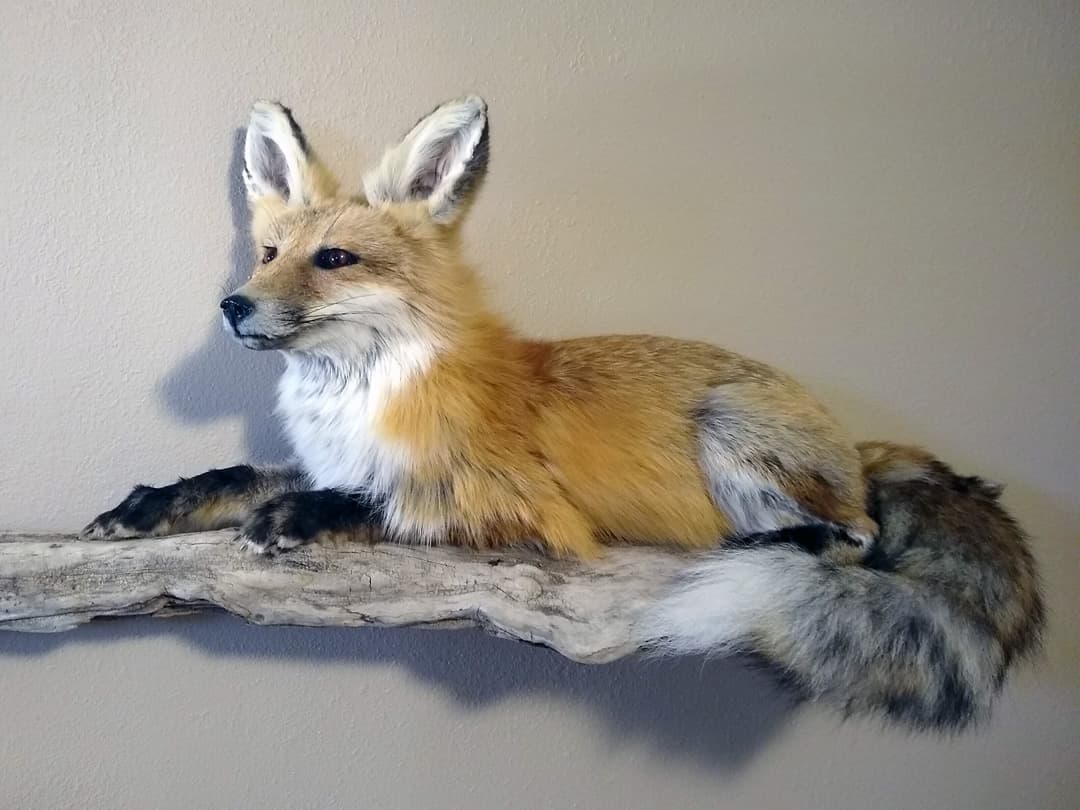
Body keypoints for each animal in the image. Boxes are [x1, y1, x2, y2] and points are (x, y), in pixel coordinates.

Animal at [82, 96, 1043, 731]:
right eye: (269, 252)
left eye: (335, 259)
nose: (233, 306)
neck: (364, 395)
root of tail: (855, 441)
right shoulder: (326, 457)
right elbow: (235, 473)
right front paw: (147, 506)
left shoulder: (520, 508)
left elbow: (386, 503)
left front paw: (299, 518)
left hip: (731, 432)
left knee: (855, 536)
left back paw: (759, 544)